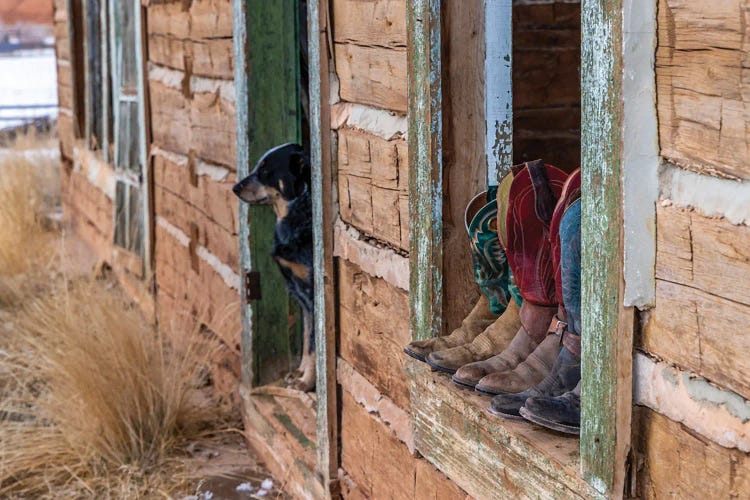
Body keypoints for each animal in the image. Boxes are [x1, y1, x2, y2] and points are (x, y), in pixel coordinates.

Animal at [235, 143, 318, 392]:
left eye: (265, 170)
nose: (234, 187)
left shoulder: (312, 294)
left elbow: (313, 344)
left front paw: (307, 382)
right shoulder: (300, 296)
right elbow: (307, 339)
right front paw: (301, 372)